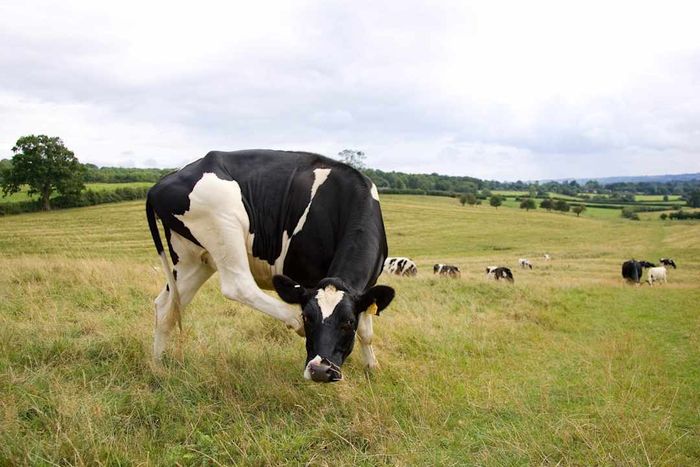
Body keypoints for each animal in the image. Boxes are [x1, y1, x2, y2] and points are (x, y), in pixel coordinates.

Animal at [146, 150, 395, 383]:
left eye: (348, 323)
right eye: (309, 318)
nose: (320, 370)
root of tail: (162, 182)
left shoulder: (365, 289)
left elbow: (366, 331)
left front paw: (372, 368)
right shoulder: (302, 277)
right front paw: (300, 322)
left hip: (192, 258)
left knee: (167, 306)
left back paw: (158, 367)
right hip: (224, 221)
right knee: (238, 285)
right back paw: (292, 319)